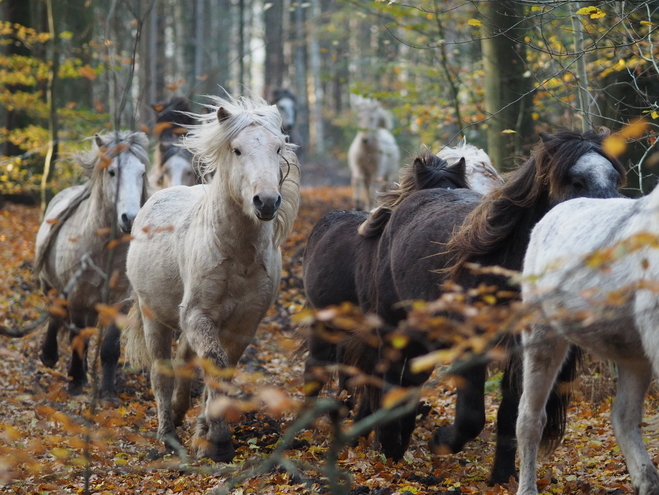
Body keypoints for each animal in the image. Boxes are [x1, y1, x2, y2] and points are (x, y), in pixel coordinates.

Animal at [36, 132, 151, 400]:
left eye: (142, 172)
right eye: (112, 172)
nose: (130, 218)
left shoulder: (119, 301)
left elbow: (109, 347)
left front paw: (107, 392)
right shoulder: (78, 298)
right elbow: (77, 337)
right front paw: (76, 383)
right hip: (52, 286)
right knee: (57, 316)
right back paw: (50, 356)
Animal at [124, 94, 302, 462]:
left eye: (278, 148)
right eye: (237, 150)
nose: (266, 202)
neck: (237, 255)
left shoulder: (243, 325)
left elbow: (222, 369)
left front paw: (205, 433)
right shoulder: (199, 316)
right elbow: (214, 363)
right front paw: (217, 441)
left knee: (183, 363)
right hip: (153, 316)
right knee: (162, 372)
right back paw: (167, 435)